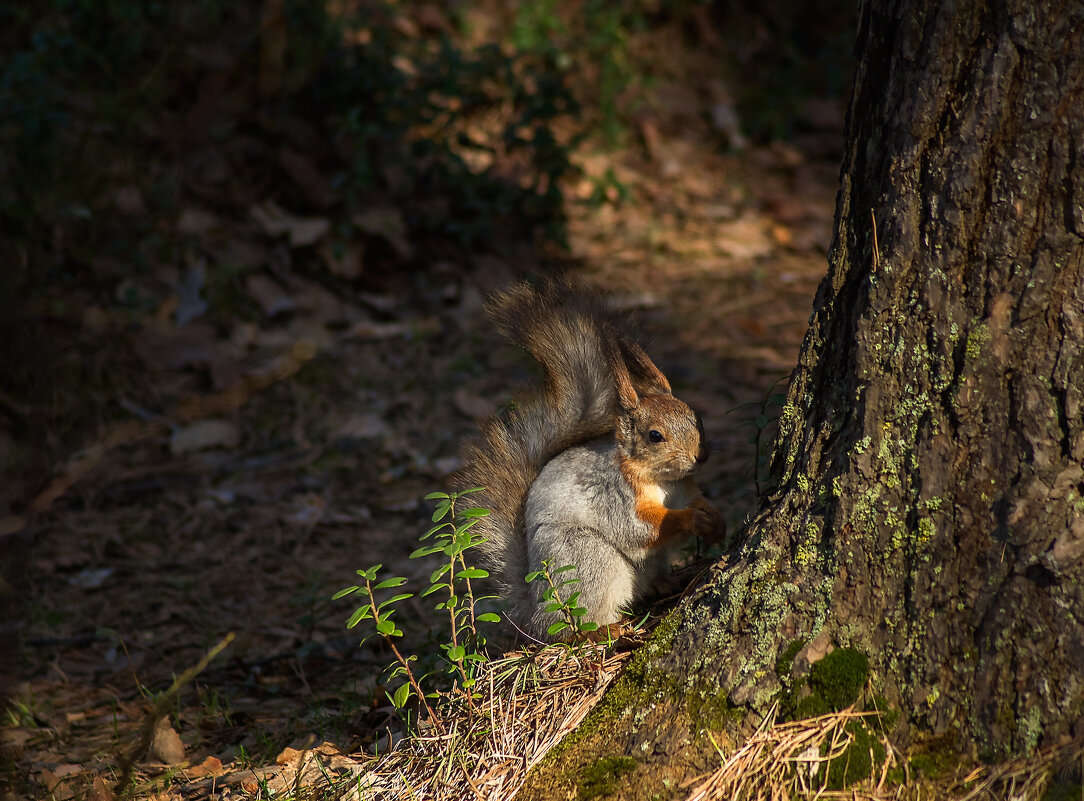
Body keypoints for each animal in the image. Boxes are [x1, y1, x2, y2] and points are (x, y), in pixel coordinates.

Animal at [455, 281, 719, 637]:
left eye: (697, 417)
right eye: (655, 436)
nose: (700, 456)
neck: (664, 481)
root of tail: (536, 610)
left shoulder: (686, 488)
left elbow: (697, 499)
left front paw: (714, 517)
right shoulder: (616, 497)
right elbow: (640, 529)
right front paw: (692, 519)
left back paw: (662, 584)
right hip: (587, 558)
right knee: (579, 624)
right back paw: (609, 629)